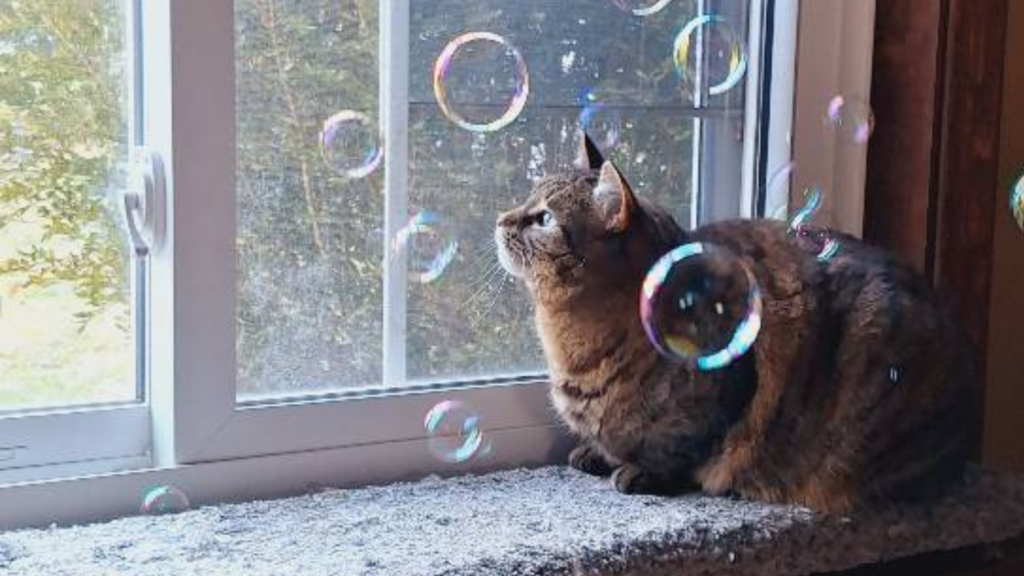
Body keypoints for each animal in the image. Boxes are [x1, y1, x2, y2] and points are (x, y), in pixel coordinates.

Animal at [495, 133, 974, 510]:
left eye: (544, 218)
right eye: (528, 200)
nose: (500, 219)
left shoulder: (723, 393)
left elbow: (679, 447)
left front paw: (639, 470)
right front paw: (595, 453)